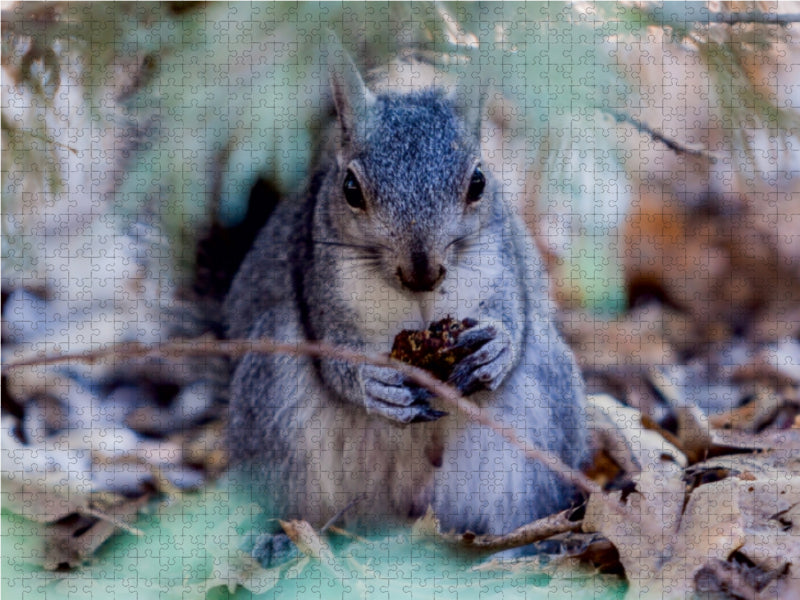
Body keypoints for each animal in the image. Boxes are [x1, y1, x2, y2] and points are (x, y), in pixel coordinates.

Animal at [223, 58, 588, 552]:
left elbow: (515, 312)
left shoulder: (504, 257)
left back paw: (521, 546)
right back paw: (281, 540)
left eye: (479, 182)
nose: (422, 271)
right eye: (350, 188)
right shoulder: (317, 282)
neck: (418, 300)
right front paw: (373, 384)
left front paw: (495, 349)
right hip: (275, 405)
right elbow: (333, 357)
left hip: (538, 418)